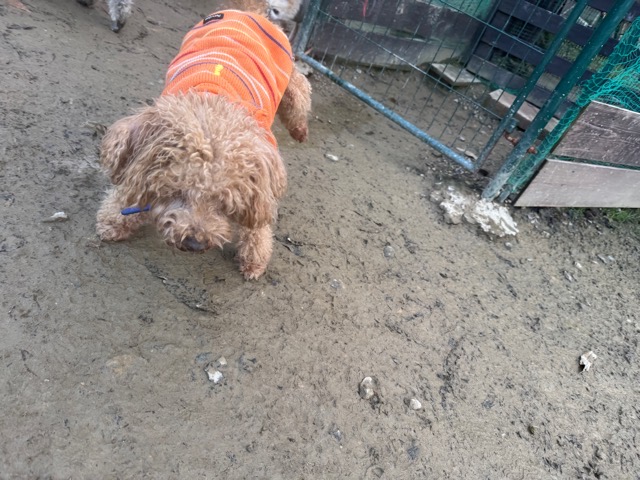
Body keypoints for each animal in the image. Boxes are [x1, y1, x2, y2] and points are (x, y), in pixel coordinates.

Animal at [96, 8, 312, 279]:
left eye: (223, 203)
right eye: (175, 191)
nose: (194, 243)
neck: (213, 100)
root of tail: (250, 12)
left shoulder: (263, 171)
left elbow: (257, 223)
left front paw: (255, 258)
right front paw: (116, 219)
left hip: (286, 70)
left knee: (299, 92)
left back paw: (299, 129)